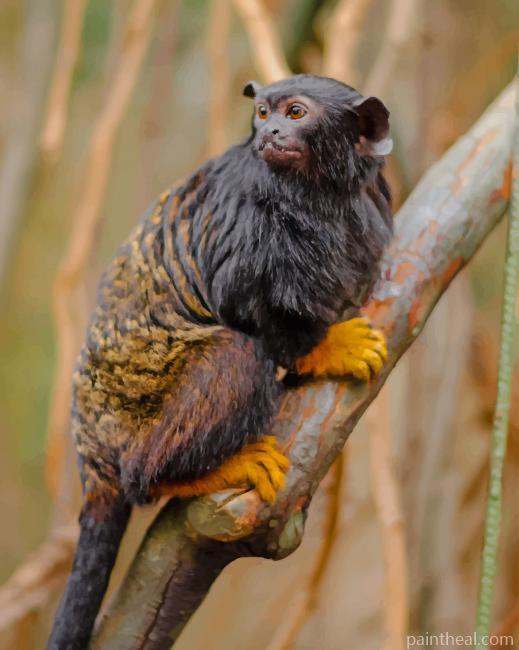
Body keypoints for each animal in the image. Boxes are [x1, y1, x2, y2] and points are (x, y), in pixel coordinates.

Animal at [47, 74, 393, 649]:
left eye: (295, 113)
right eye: (263, 113)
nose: (271, 132)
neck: (323, 197)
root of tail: (91, 451)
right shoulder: (252, 222)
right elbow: (245, 306)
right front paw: (326, 347)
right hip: (138, 415)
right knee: (232, 359)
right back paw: (189, 474)